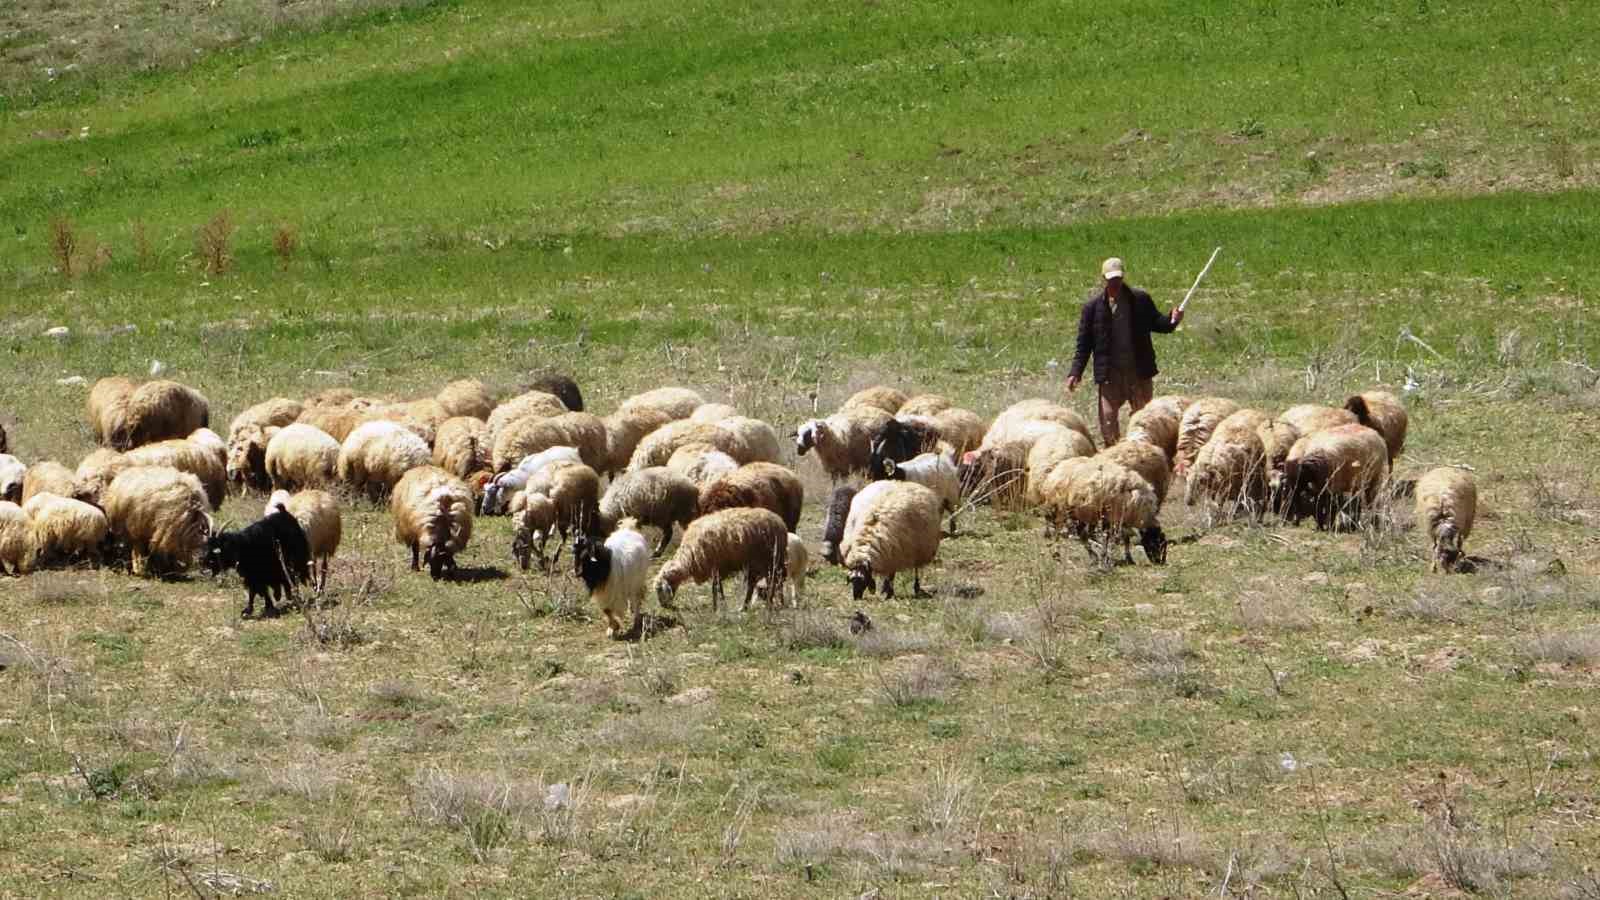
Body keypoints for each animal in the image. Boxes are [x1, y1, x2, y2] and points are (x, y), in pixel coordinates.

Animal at [652, 506, 790, 608]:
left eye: (659, 590)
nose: (664, 607)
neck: (688, 557)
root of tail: (780, 523)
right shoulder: (717, 569)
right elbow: (718, 587)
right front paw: (721, 604)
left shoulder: (715, 566)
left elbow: (715, 588)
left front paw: (716, 607)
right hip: (760, 562)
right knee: (760, 583)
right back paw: (749, 606)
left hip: (768, 559)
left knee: (775, 581)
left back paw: (772, 604)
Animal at [1030, 458, 1171, 563]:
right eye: (1155, 542)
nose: (1160, 562)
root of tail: (1056, 470)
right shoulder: (1112, 515)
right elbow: (1109, 536)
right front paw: (1106, 555)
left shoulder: (1119, 518)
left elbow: (1125, 537)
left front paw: (1128, 558)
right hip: (1062, 508)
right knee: (1059, 531)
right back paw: (1057, 554)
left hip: (1079, 512)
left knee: (1081, 534)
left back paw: (1093, 555)